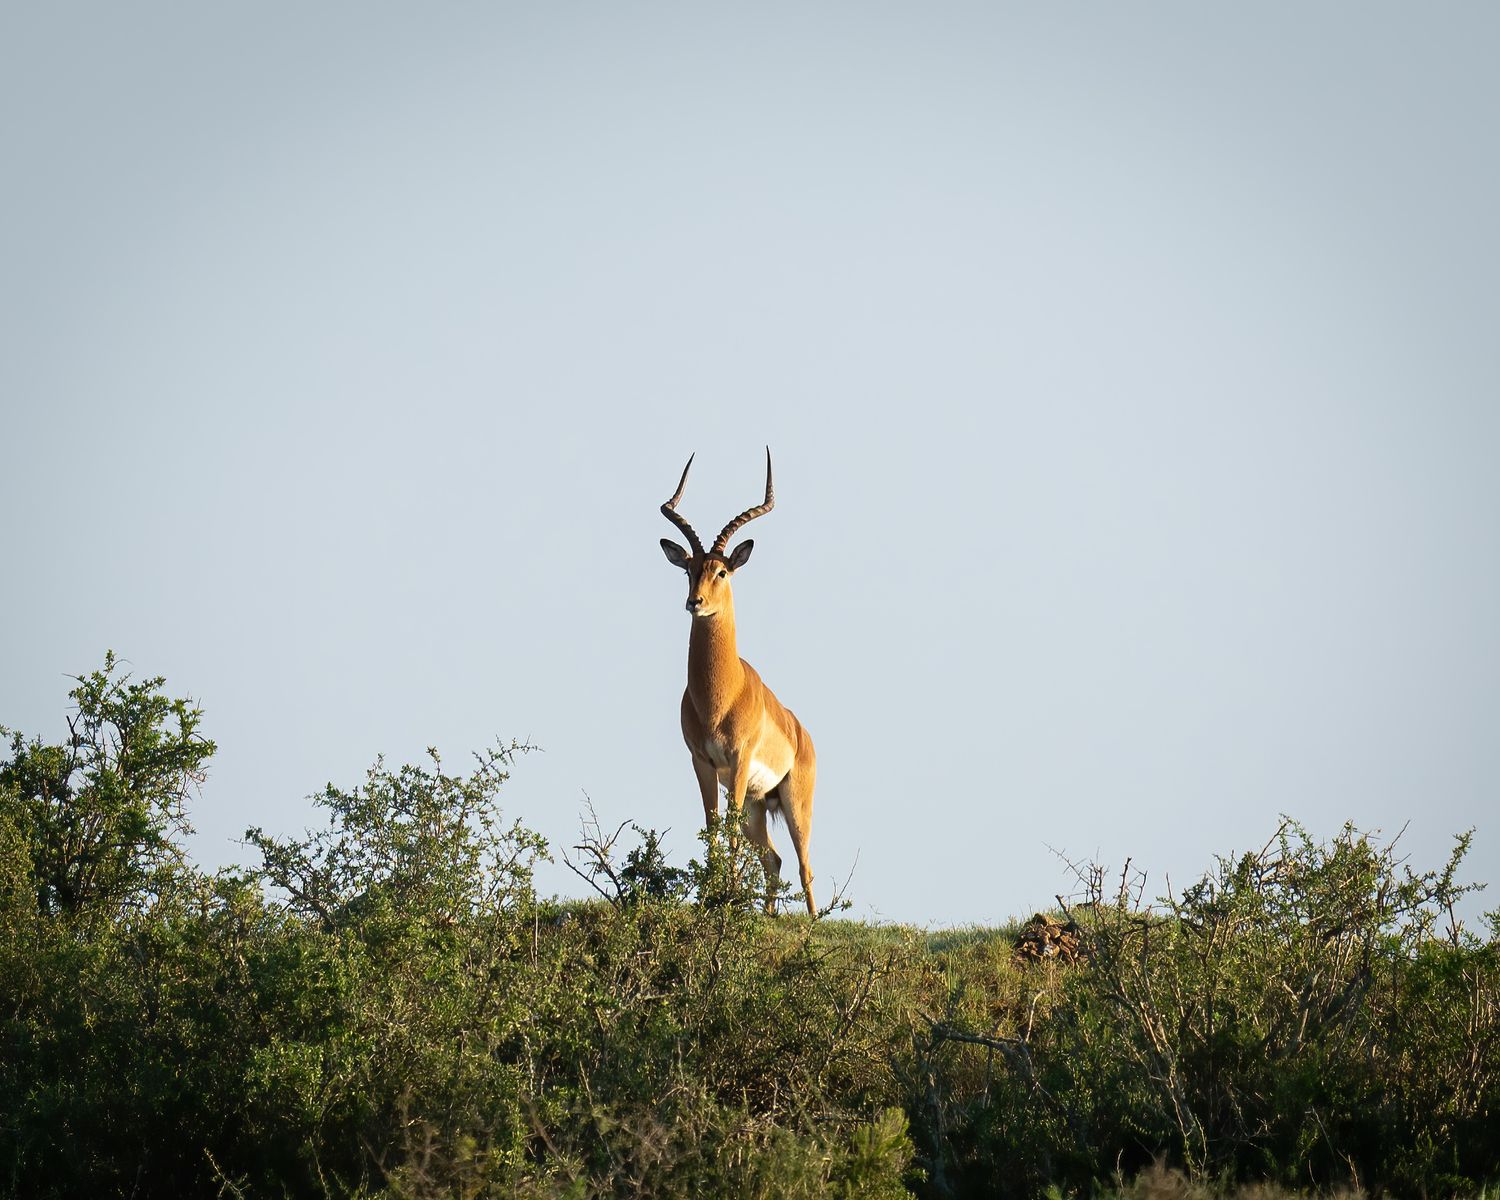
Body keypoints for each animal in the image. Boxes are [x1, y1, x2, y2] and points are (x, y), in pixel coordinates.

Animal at [659, 449, 818, 916]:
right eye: (689, 569)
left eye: (722, 572)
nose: (694, 602)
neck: (719, 697)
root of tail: (801, 734)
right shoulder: (703, 763)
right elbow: (712, 828)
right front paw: (712, 898)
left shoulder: (740, 758)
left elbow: (725, 835)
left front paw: (725, 898)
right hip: (755, 804)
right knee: (773, 858)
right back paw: (766, 916)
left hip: (794, 802)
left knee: (803, 864)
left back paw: (813, 922)